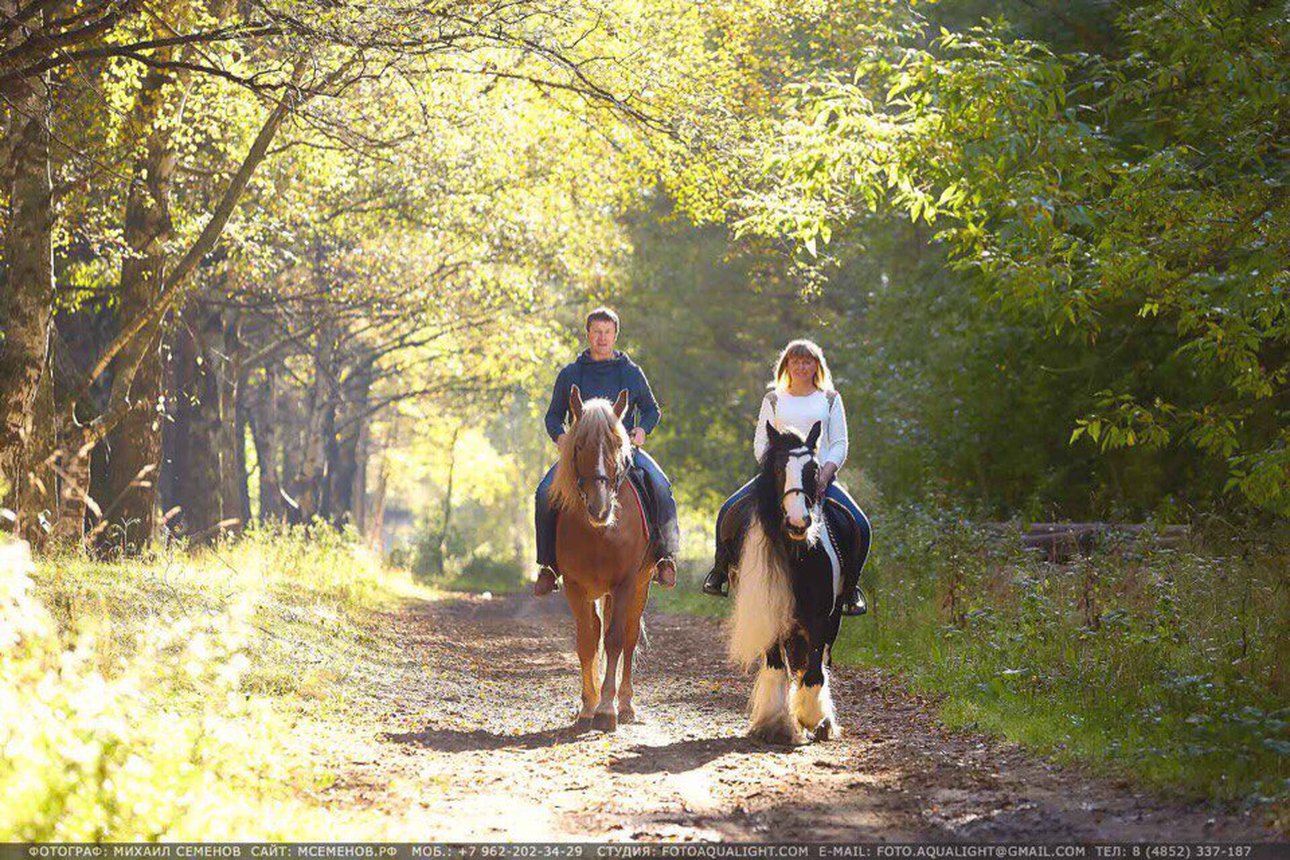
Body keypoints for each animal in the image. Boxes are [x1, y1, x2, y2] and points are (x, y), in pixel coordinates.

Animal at [552, 386, 660, 732]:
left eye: (617, 444)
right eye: (579, 445)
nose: (599, 509)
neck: (599, 532)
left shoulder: (625, 583)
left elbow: (614, 640)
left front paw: (607, 710)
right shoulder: (575, 585)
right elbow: (588, 640)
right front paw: (588, 707)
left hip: (641, 584)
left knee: (629, 635)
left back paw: (625, 705)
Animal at [727, 420, 856, 742]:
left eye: (814, 470)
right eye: (777, 470)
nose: (798, 523)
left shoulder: (821, 619)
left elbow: (813, 671)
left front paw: (813, 719)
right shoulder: (769, 611)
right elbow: (776, 666)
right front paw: (772, 723)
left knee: (819, 662)